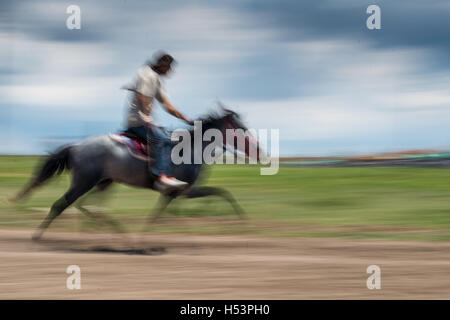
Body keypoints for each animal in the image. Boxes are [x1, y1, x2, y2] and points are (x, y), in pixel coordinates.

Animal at [13, 107, 260, 240]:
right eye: (240, 129)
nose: (258, 150)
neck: (191, 148)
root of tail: (76, 147)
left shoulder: (180, 192)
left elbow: (221, 192)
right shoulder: (182, 191)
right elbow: (221, 192)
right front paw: (244, 220)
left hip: (103, 182)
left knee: (86, 206)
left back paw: (111, 231)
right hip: (84, 182)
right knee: (61, 205)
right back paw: (38, 236)